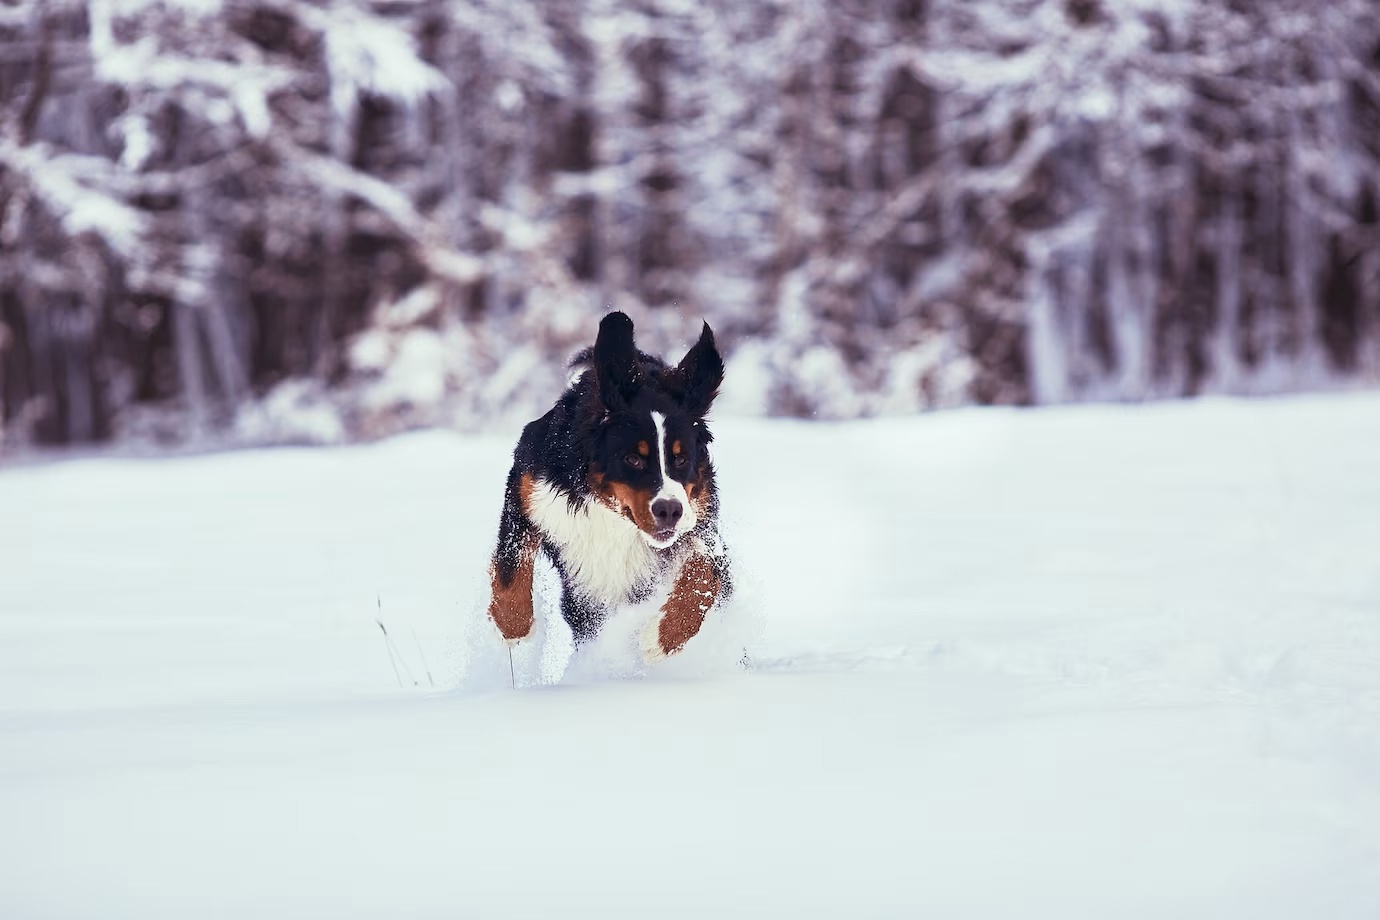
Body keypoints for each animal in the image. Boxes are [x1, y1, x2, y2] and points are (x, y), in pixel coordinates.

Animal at [491, 308, 739, 662]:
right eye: (633, 459)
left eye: (680, 459)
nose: (669, 511)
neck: (608, 511)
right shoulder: (528, 487)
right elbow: (511, 564)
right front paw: (511, 626)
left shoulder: (699, 519)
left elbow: (704, 573)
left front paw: (661, 639)